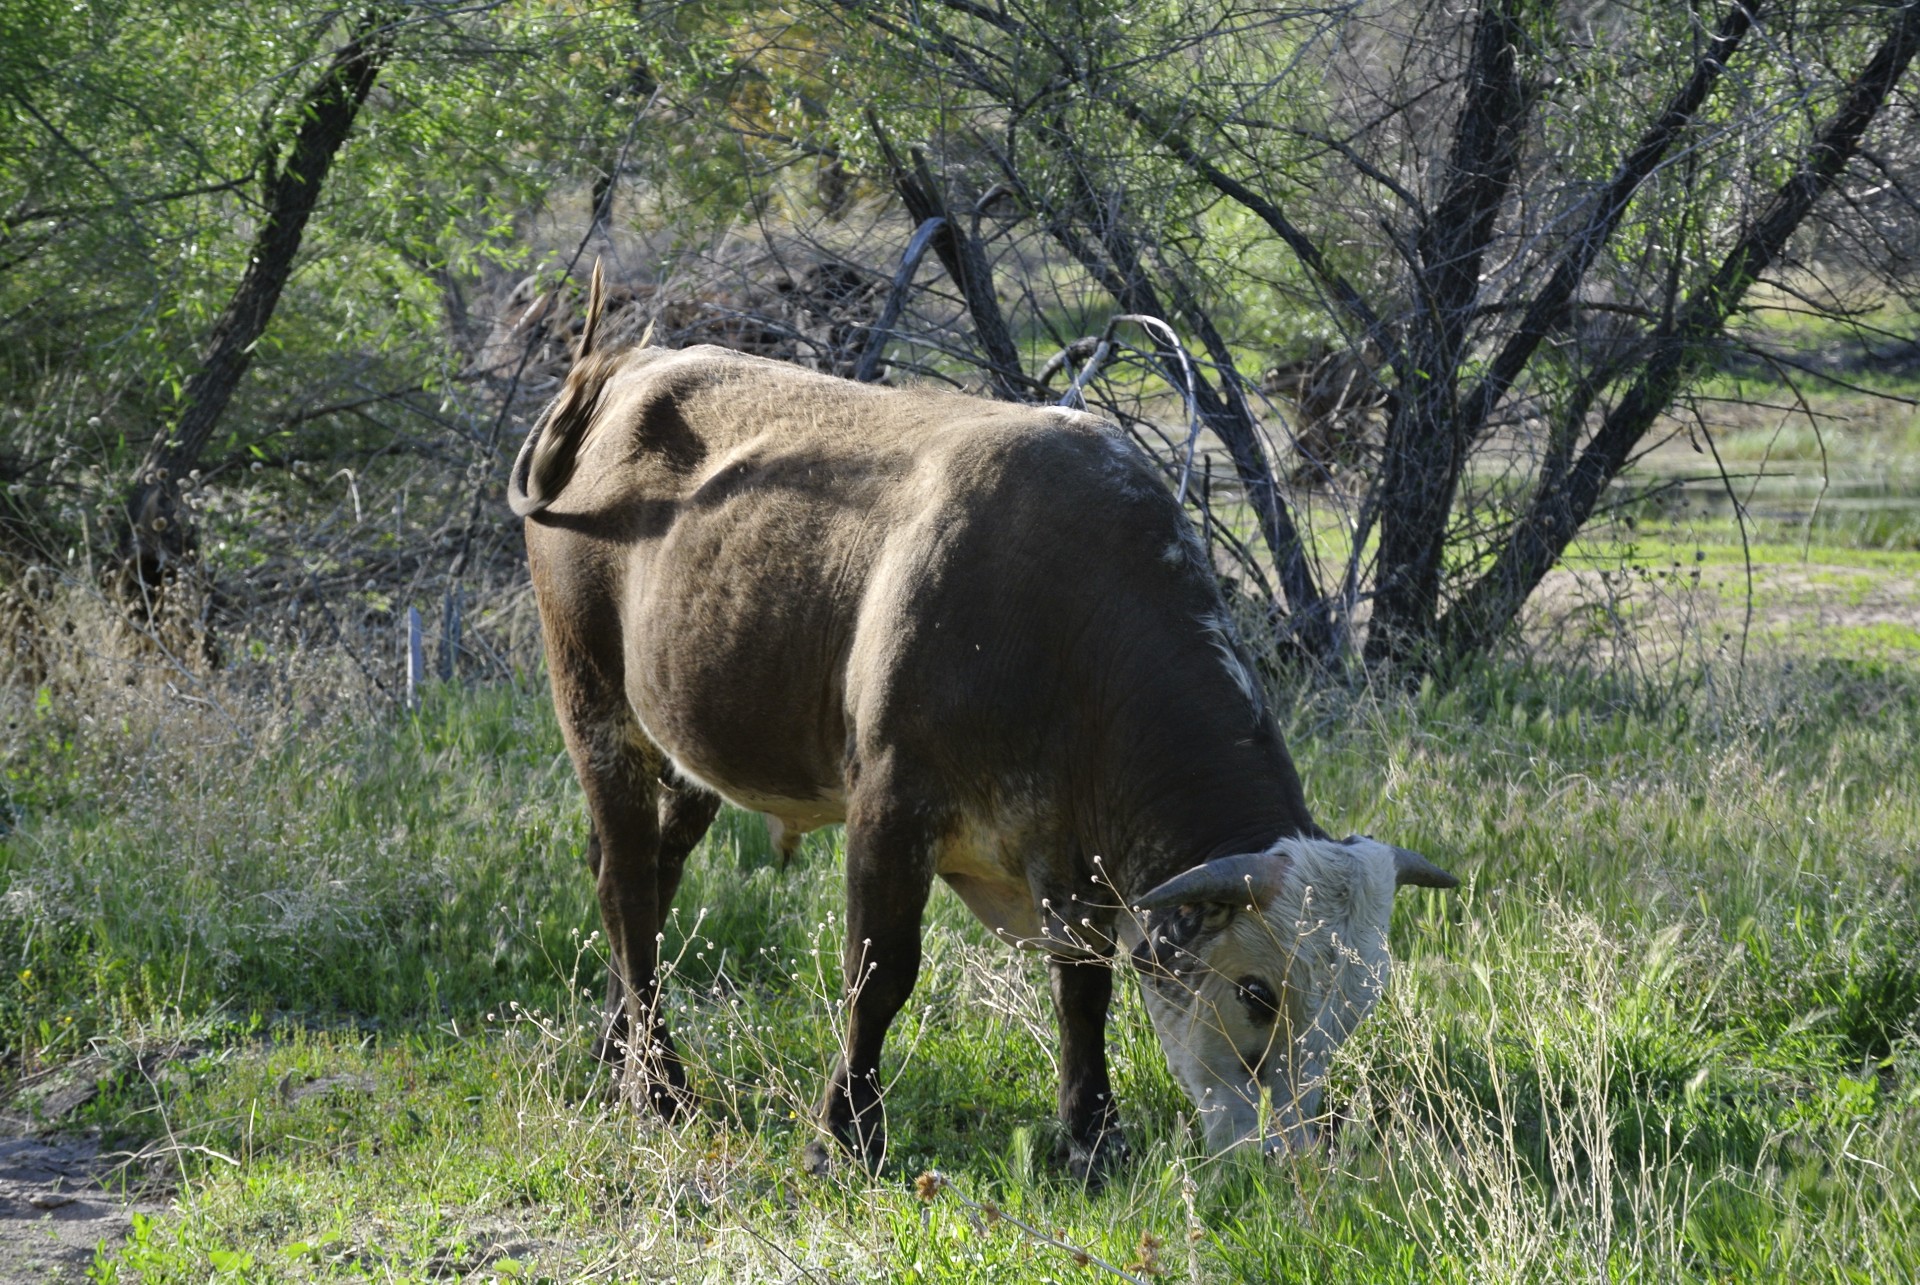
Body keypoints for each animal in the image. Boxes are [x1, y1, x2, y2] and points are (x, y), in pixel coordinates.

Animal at [510, 272, 1451, 1183]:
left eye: (1358, 1007)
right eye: (1258, 992)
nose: (1286, 1158)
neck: (1070, 623)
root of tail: (626, 370)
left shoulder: (1073, 859)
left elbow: (1083, 989)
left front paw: (1092, 1135)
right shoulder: (892, 807)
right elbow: (880, 973)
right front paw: (844, 1134)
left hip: (691, 746)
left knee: (649, 875)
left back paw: (619, 1049)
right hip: (593, 705)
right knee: (626, 882)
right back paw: (659, 1084)